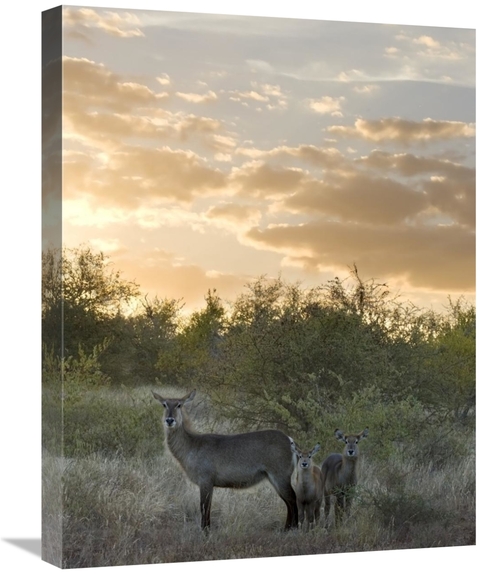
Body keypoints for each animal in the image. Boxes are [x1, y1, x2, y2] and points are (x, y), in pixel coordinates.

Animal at [152, 390, 298, 532]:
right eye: (164, 404)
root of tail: (289, 440)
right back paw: (286, 529)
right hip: (274, 478)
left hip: (280, 476)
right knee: (288, 500)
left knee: (292, 497)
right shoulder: (208, 483)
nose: (169, 420)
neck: (192, 445)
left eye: (179, 405)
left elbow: (204, 507)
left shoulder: (205, 480)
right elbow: (207, 507)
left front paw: (205, 532)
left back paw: (294, 528)